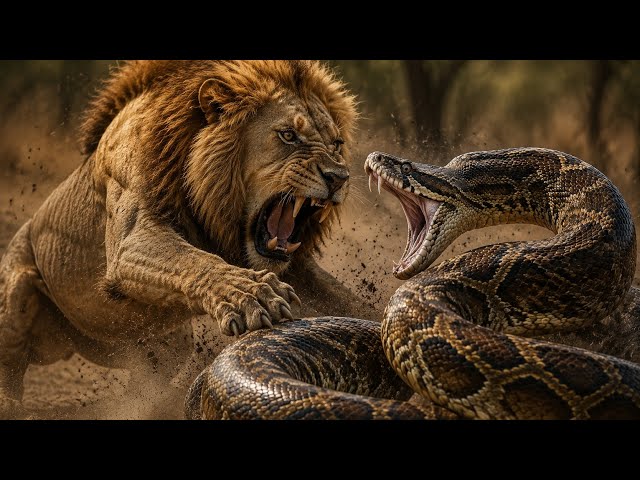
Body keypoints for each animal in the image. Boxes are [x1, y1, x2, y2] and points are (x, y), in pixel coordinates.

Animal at [0, 60, 377, 417]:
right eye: (287, 136)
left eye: (337, 144)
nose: (339, 177)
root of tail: (74, 346)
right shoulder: (133, 239)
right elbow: (195, 261)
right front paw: (251, 293)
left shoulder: (295, 267)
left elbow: (346, 301)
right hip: (16, 291)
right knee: (11, 362)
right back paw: (11, 404)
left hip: (170, 345)